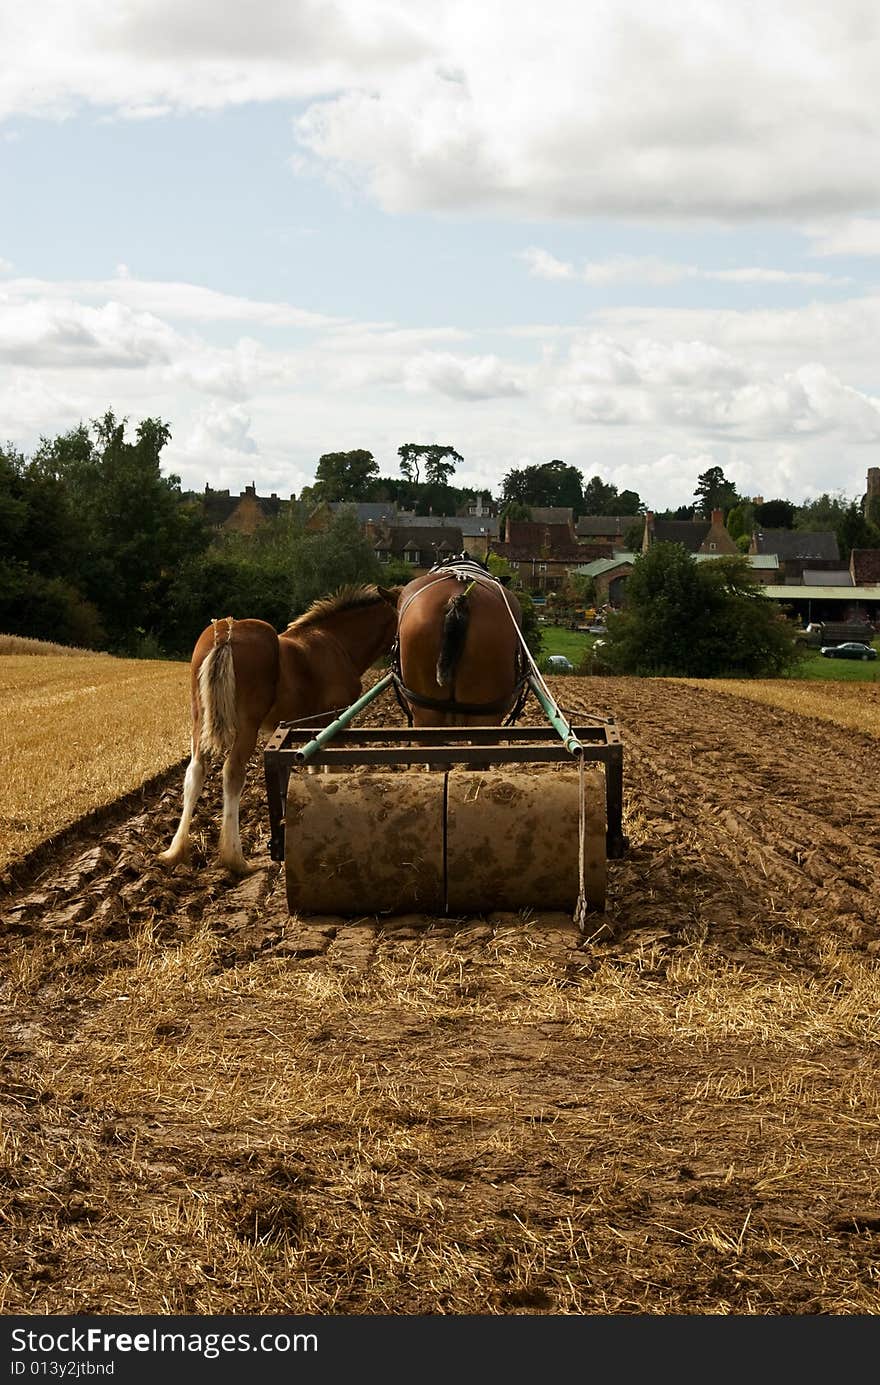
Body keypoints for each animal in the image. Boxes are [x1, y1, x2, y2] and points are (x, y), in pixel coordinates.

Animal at [160, 584, 401, 875]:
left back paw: (175, 852)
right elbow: (334, 768)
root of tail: (225, 635)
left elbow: (315, 767)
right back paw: (235, 858)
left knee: (195, 772)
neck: (337, 642)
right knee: (232, 773)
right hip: (246, 725)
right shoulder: (336, 718)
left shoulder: (313, 725)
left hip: (199, 721)